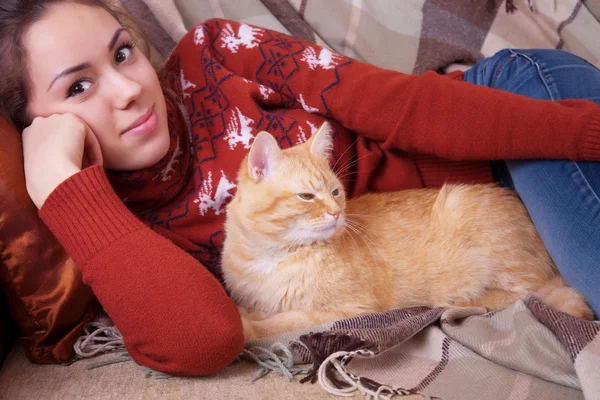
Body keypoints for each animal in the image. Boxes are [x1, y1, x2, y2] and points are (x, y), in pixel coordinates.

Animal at [223, 122, 592, 340]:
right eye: (307, 196)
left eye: (336, 192)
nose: (337, 212)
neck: (272, 256)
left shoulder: (349, 310)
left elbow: (284, 322)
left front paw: (249, 325)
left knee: (522, 295)